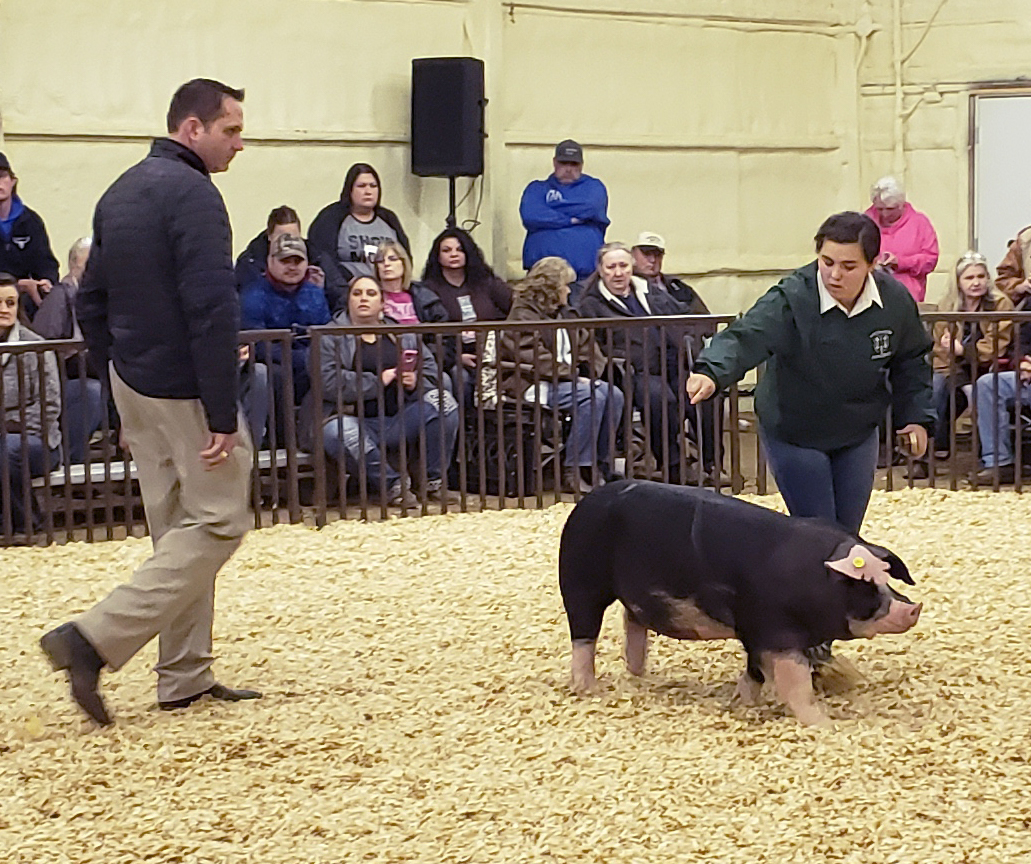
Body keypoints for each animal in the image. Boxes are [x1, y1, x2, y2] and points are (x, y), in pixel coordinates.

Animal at [560, 480, 923, 725]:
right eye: (862, 585)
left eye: (886, 579)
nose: (913, 607)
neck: (813, 580)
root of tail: (586, 503)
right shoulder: (773, 630)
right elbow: (795, 680)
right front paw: (822, 724)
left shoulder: (755, 632)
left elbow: (755, 673)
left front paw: (741, 703)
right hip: (580, 584)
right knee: (583, 636)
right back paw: (589, 690)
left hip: (635, 599)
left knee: (632, 622)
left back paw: (639, 677)